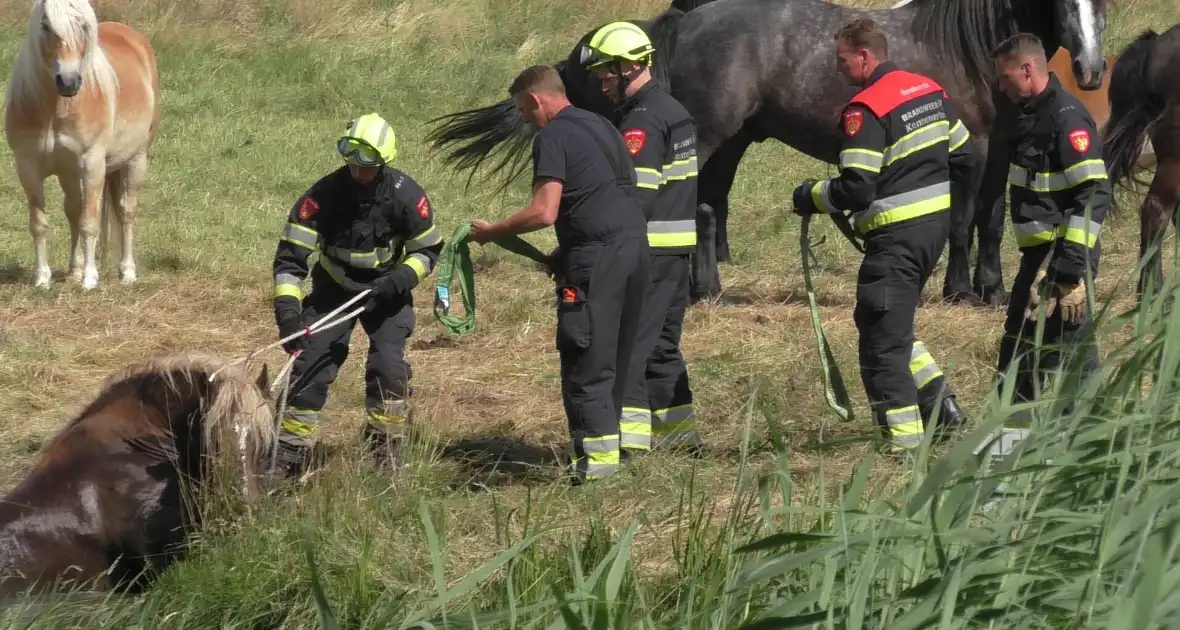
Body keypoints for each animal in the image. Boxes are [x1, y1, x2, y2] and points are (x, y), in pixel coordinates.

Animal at [3, 0, 160, 291]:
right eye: (46, 25)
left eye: (84, 26)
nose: (69, 81)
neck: (56, 109)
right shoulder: (28, 167)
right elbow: (39, 223)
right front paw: (43, 278)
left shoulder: (92, 165)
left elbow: (90, 222)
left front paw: (89, 279)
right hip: (69, 172)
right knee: (74, 211)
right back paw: (74, 270)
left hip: (136, 160)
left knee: (126, 211)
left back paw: (127, 273)